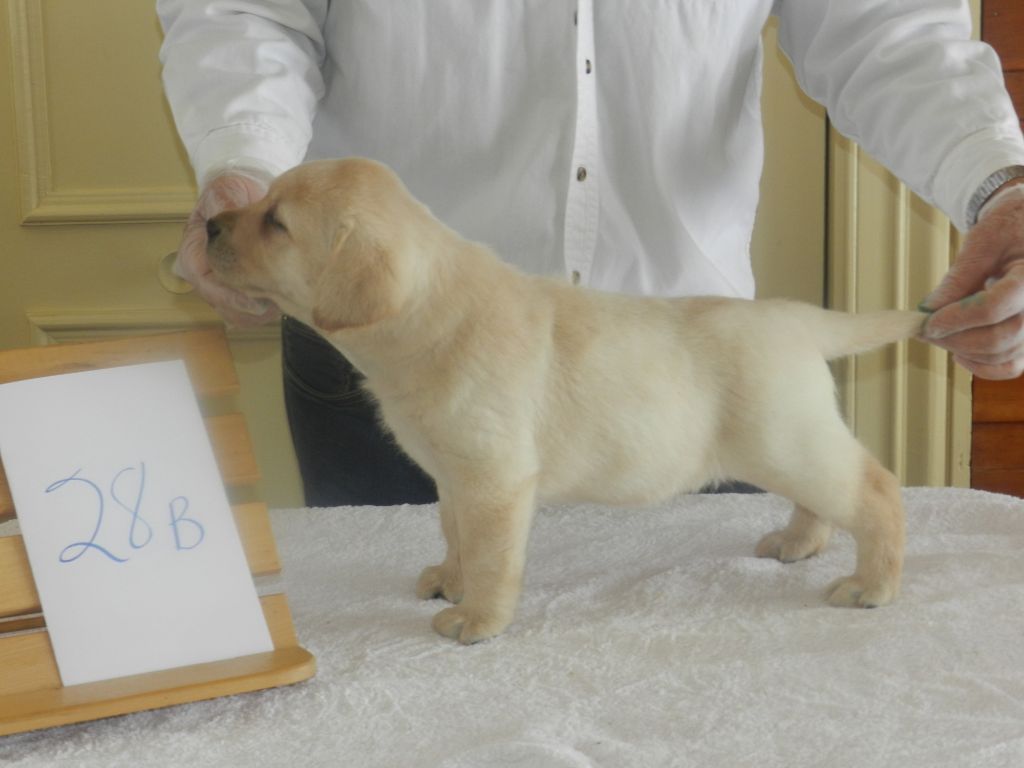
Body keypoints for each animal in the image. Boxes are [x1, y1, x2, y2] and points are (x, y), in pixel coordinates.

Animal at [203, 154, 925, 643]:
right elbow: (456, 533)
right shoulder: (455, 477)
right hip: (792, 443)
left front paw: (477, 618)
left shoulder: (495, 479)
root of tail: (803, 319)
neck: (430, 316)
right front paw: (449, 580)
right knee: (825, 499)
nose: (207, 223)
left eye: (275, 222)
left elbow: (491, 555)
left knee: (877, 490)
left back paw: (872, 585)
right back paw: (797, 543)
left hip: (787, 439)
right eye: (261, 201)